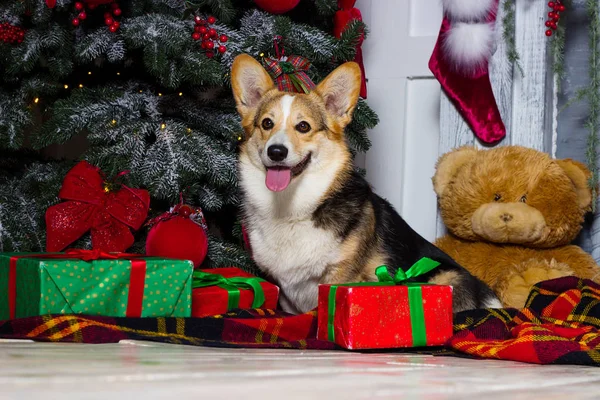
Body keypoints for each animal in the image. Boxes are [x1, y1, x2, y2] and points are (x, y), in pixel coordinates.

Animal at [231, 54, 502, 316]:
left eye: (303, 126)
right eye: (267, 123)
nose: (276, 151)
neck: (290, 207)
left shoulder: (339, 275)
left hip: (445, 276)